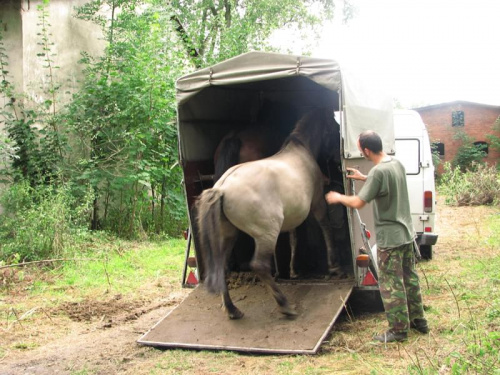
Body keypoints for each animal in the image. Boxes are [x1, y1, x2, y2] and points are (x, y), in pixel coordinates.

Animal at [194, 109, 340, 320]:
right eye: (335, 127)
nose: (337, 158)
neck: (301, 150)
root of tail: (222, 188)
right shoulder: (318, 202)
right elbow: (325, 227)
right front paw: (333, 265)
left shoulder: (293, 214)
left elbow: (294, 238)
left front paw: (294, 270)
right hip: (267, 234)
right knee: (260, 266)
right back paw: (284, 305)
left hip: (229, 235)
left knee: (223, 266)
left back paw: (232, 309)